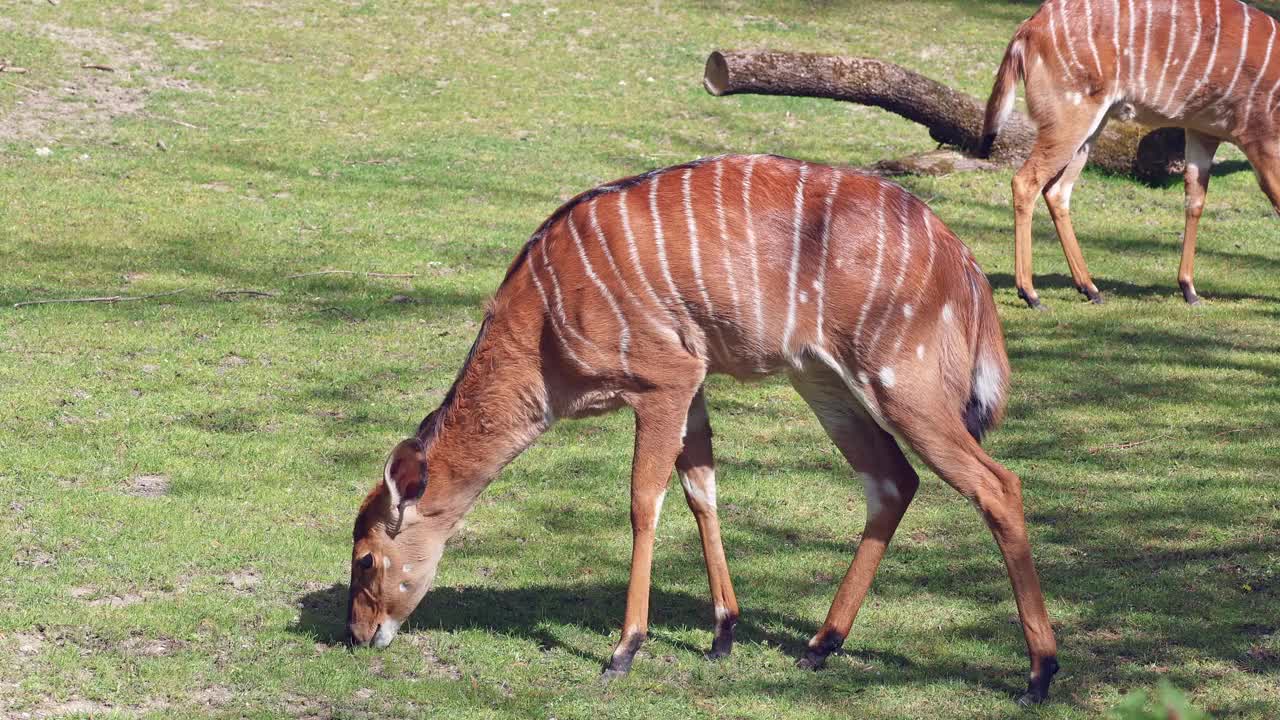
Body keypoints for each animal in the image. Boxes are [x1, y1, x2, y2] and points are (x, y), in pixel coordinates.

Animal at [340, 152, 1059, 702]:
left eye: (366, 558)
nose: (356, 635)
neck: (543, 328)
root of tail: (963, 262)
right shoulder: (695, 382)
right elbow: (701, 491)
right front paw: (722, 635)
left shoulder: (664, 379)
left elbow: (644, 502)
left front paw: (623, 650)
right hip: (821, 377)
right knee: (891, 481)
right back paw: (820, 645)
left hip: (901, 378)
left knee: (997, 484)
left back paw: (1040, 674)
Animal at [977, 0, 1280, 304]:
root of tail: (1028, 29)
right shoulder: (1260, 139)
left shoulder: (1203, 130)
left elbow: (1194, 201)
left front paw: (1189, 289)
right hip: (1070, 116)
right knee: (1026, 181)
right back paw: (1030, 293)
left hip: (1090, 126)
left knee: (1057, 190)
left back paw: (1090, 288)